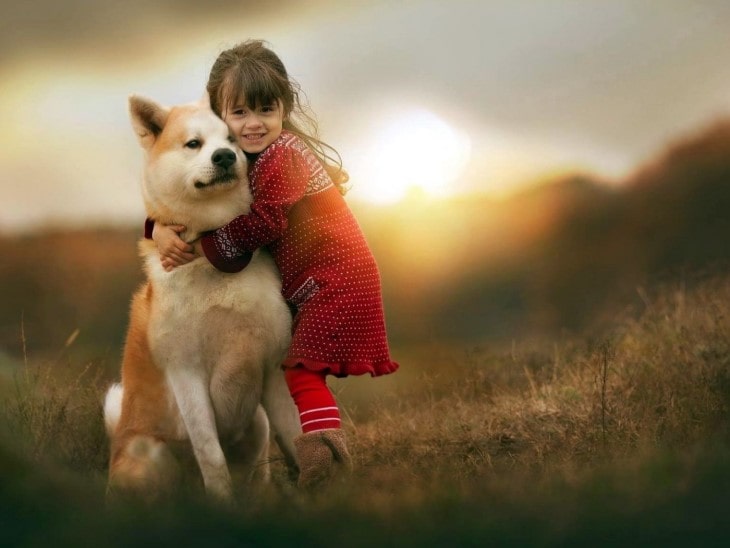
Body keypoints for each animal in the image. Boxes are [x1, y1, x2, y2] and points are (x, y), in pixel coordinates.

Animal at [102, 93, 298, 500]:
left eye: (231, 139)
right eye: (194, 144)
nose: (223, 156)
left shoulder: (274, 366)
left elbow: (297, 439)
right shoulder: (186, 373)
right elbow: (211, 456)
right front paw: (222, 505)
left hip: (257, 426)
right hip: (153, 454)